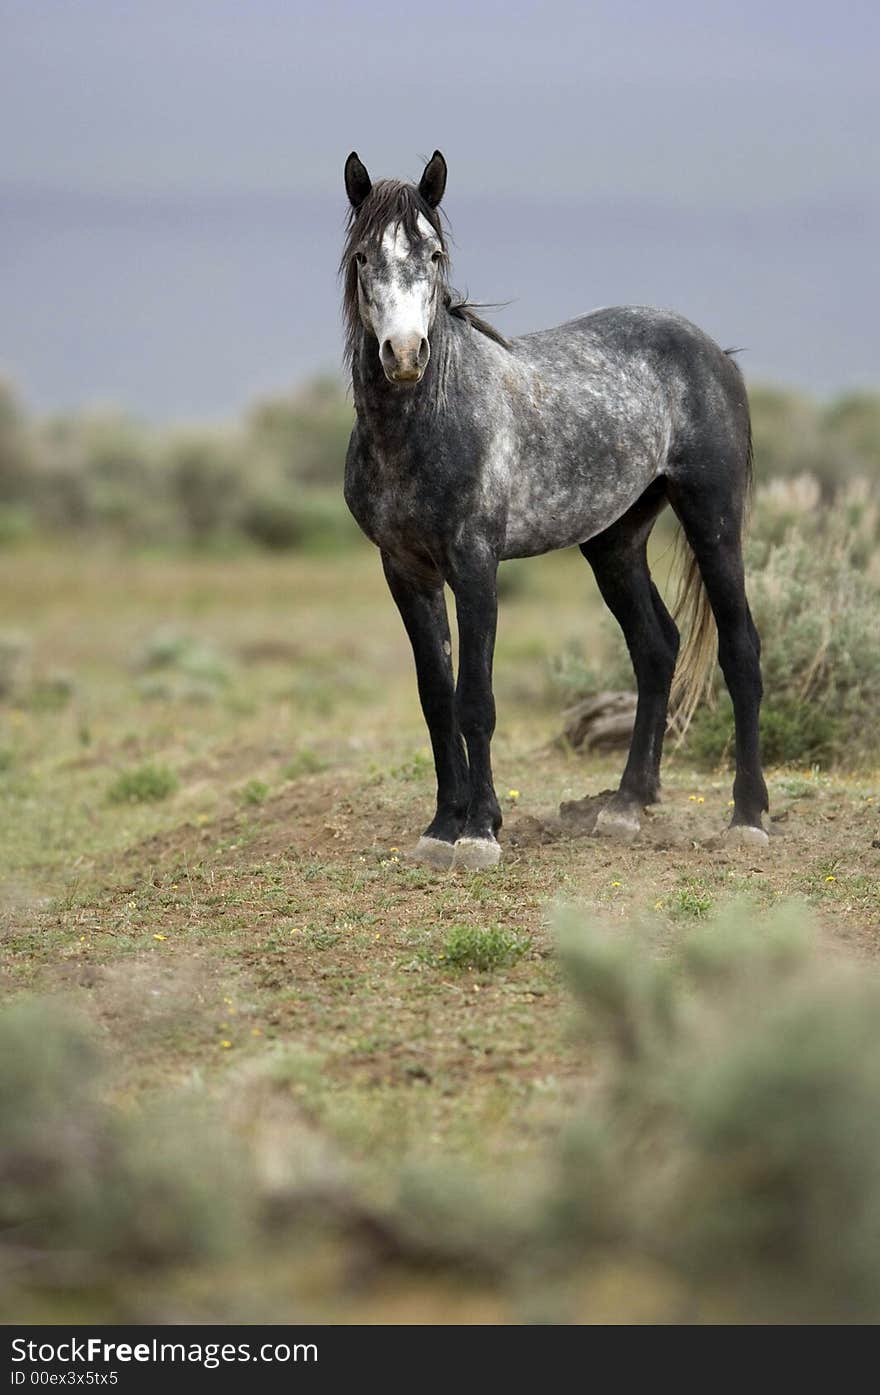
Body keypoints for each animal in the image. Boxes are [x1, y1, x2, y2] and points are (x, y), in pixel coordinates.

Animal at [340, 155, 769, 870]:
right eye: (364, 256)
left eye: (435, 253)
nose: (403, 355)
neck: (426, 424)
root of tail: (715, 353)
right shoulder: (404, 570)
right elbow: (435, 697)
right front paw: (442, 827)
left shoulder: (475, 565)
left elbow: (475, 700)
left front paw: (480, 833)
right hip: (615, 542)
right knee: (657, 648)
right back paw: (626, 806)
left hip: (712, 519)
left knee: (740, 649)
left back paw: (748, 817)